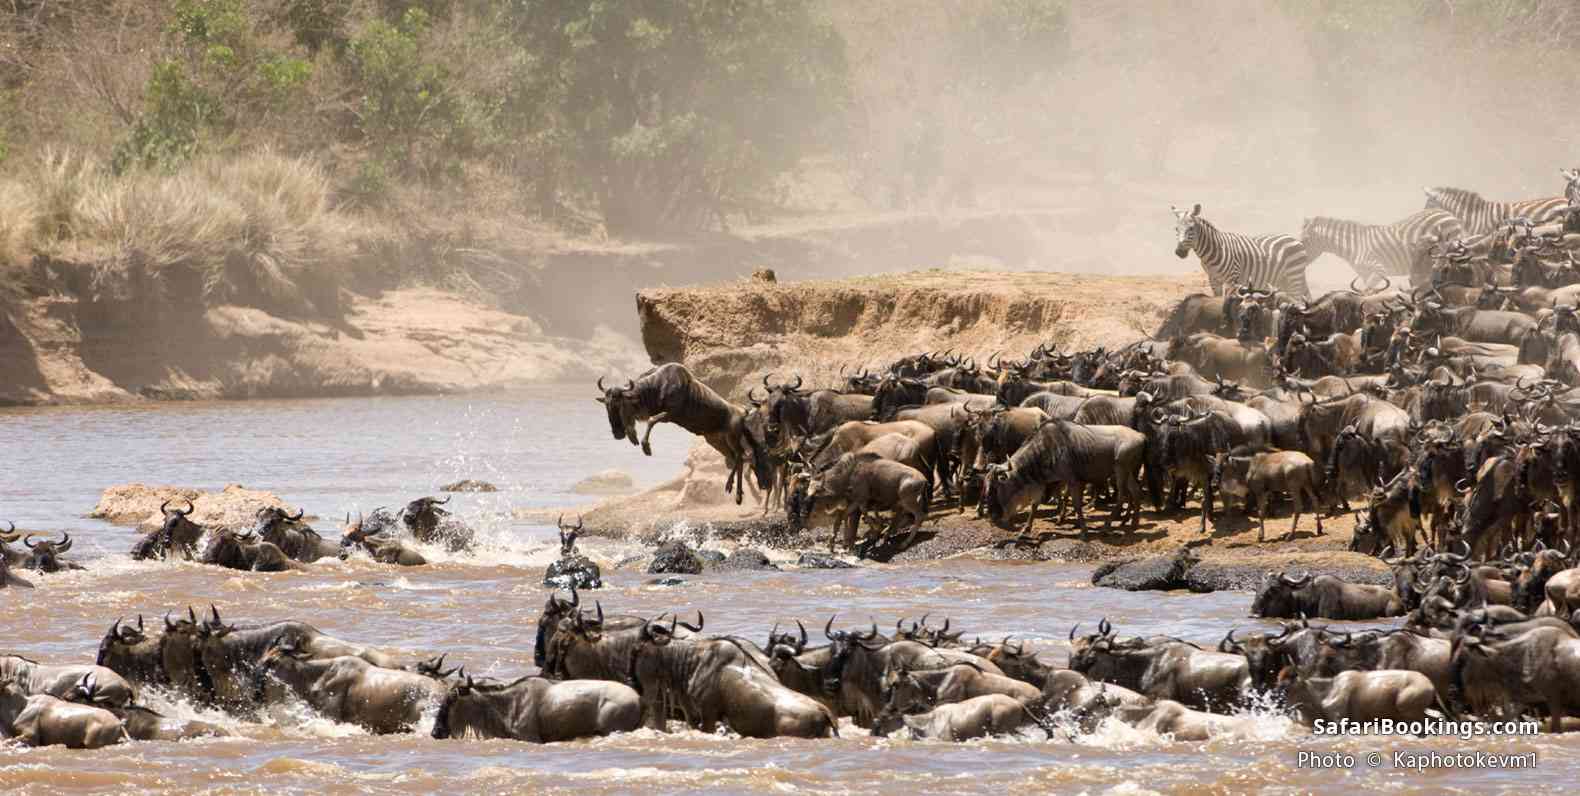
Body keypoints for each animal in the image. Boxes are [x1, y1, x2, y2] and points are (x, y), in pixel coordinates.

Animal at [1172, 203, 1310, 298]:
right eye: (1176, 229)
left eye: (1191, 228)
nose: (1179, 252)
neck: (1213, 251)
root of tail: (1295, 239)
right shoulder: (1213, 279)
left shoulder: (1232, 281)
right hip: (1283, 280)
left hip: (1294, 276)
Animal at [1299, 210, 1464, 288]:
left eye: (1305, 240)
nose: (1301, 261)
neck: (1354, 246)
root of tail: (1449, 214)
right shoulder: (1365, 274)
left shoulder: (1379, 270)